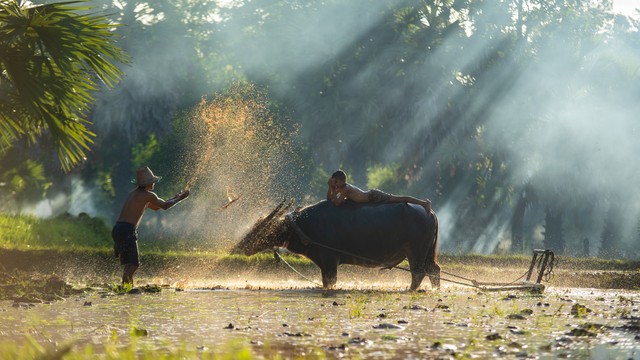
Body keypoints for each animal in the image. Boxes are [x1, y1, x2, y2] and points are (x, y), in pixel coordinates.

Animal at [232, 198, 442, 292]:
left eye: (264, 227)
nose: (242, 245)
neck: (302, 226)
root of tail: (429, 212)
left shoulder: (329, 261)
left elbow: (330, 281)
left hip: (416, 252)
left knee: (419, 273)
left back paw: (410, 290)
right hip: (426, 253)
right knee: (434, 270)